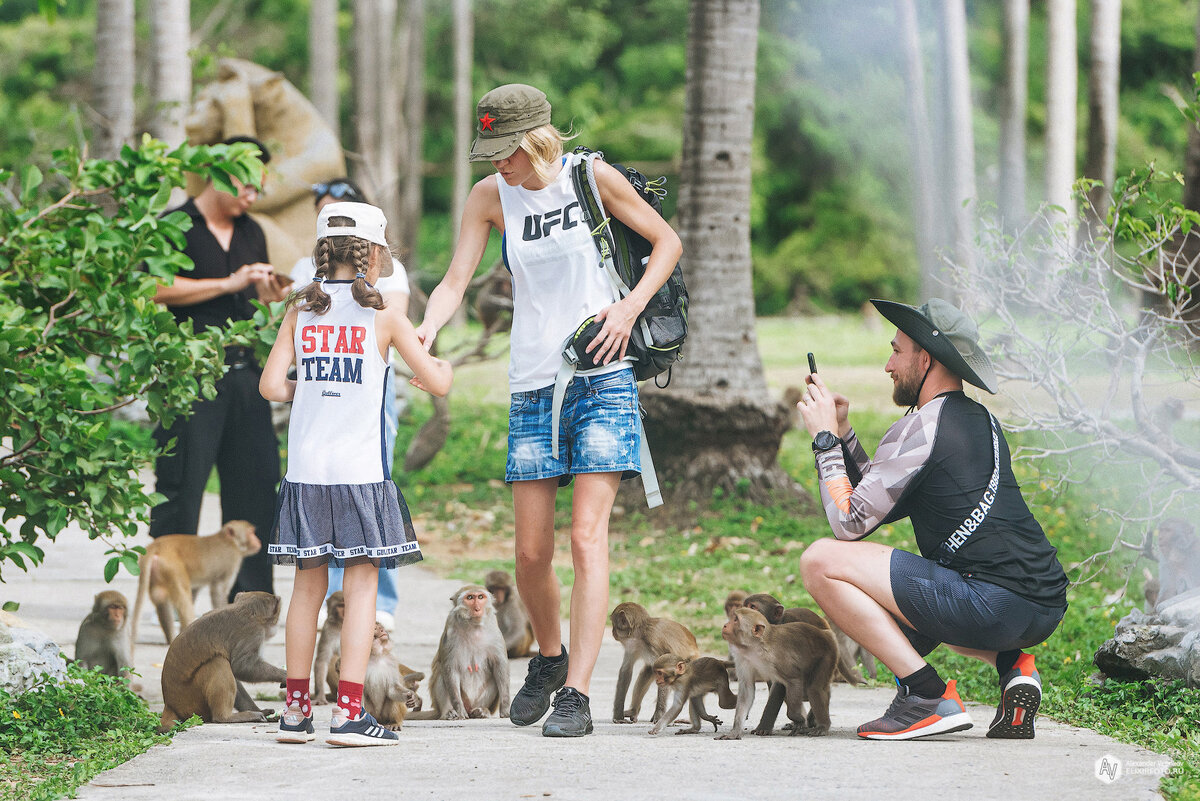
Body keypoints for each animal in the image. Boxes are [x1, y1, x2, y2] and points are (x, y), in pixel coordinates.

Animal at [131, 520, 262, 652]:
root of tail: (156, 546)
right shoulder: (231, 561)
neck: (230, 541)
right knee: (183, 598)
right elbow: (218, 591)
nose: (258, 541)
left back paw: (172, 639)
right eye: (251, 533)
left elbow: (195, 590)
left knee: (162, 601)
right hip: (173, 567)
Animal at [157, 587, 288, 733]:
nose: (276, 627)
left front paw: (261, 711)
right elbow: (242, 667)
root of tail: (170, 704)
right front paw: (285, 675)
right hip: (191, 702)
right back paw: (225, 717)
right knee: (218, 661)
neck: (247, 610)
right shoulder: (255, 632)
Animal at [410, 582, 508, 719]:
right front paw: (459, 709)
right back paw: (449, 712)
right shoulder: (451, 630)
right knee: (441, 672)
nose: (477, 608)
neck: (473, 626)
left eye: (480, 597)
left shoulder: (494, 629)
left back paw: (482, 711)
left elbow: (500, 666)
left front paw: (506, 708)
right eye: (470, 597)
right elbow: (450, 668)